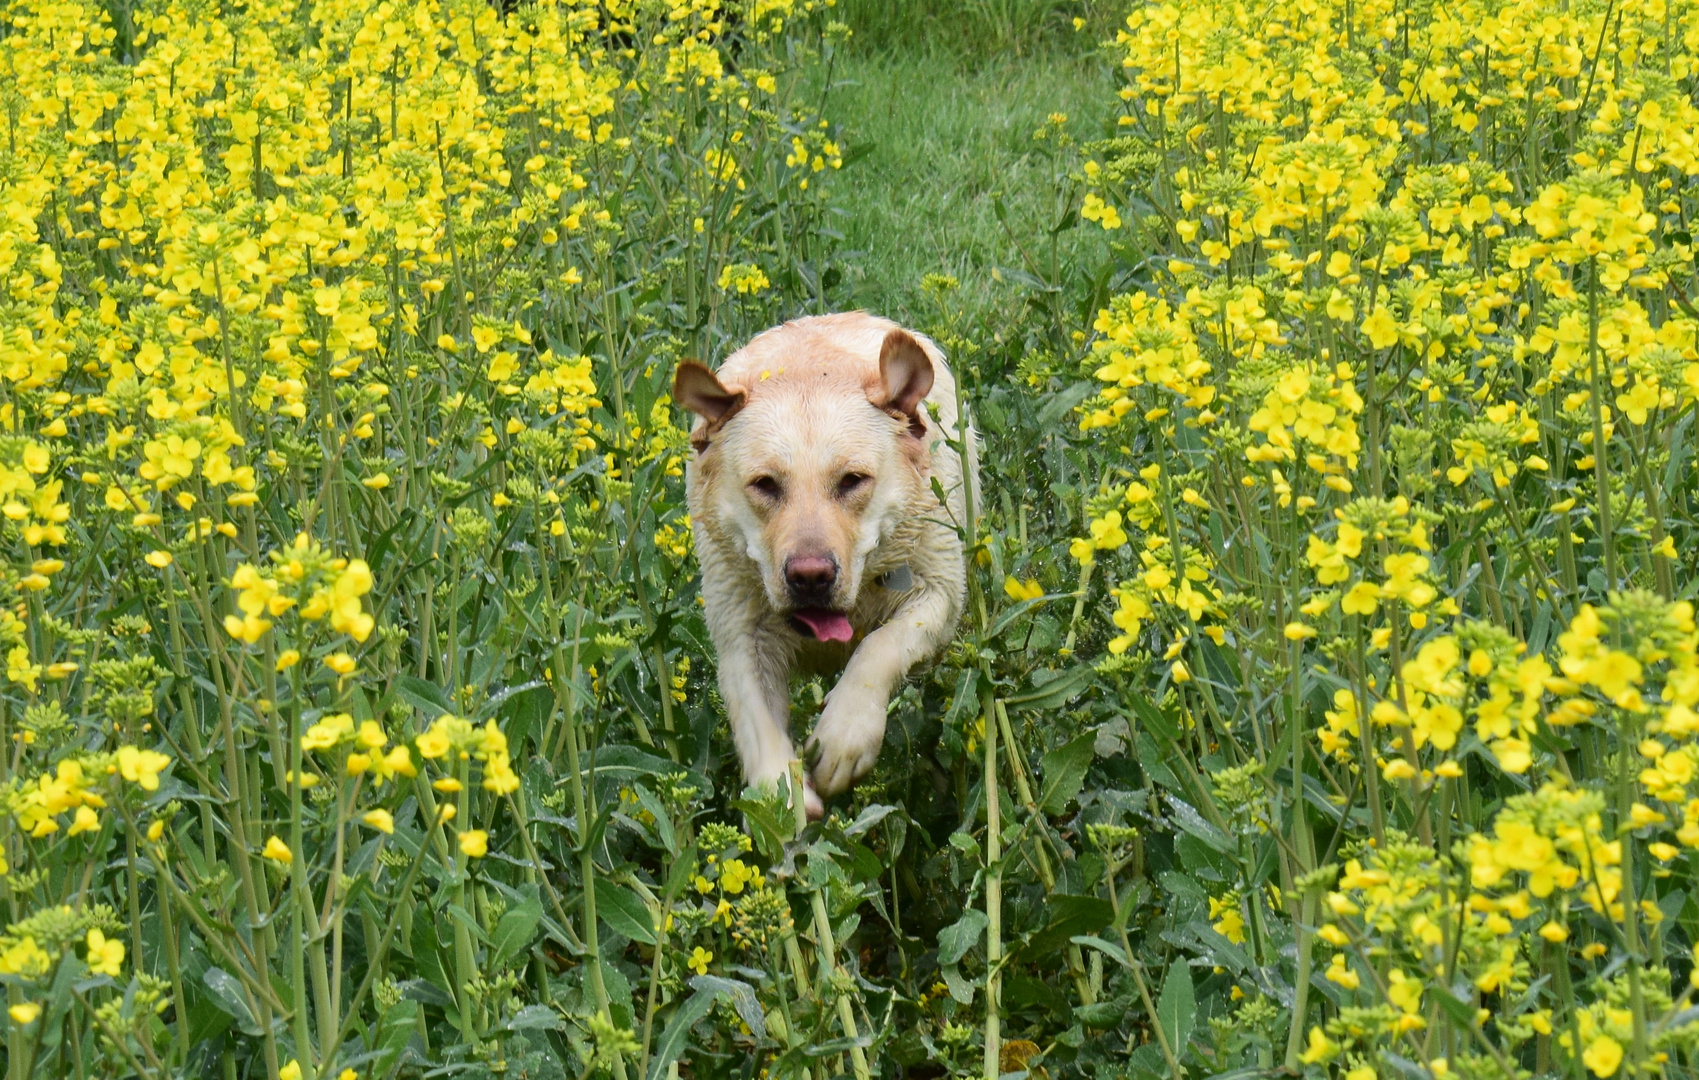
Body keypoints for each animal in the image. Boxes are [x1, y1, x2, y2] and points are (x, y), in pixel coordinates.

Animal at [672, 312, 978, 818]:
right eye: (765, 484)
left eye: (853, 480)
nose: (810, 576)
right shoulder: (739, 630)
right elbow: (755, 717)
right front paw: (782, 795)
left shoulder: (940, 592)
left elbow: (880, 646)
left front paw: (843, 737)